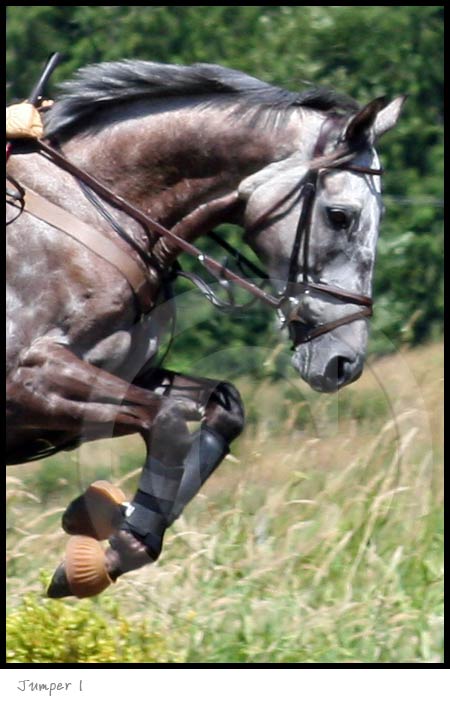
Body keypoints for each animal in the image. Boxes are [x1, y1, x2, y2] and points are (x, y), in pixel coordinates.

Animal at [6, 59, 405, 598]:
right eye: (340, 216)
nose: (344, 362)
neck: (88, 209)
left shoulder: (129, 375)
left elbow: (222, 408)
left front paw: (107, 532)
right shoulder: (27, 381)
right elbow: (170, 420)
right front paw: (116, 546)